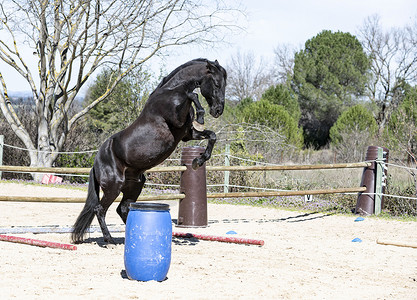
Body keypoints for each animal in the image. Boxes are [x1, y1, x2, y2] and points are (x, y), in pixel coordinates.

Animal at [72, 58, 228, 244]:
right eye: (217, 84)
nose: (218, 110)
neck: (172, 92)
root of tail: (96, 164)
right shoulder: (177, 121)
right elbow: (193, 96)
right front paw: (201, 117)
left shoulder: (188, 134)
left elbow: (212, 136)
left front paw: (198, 161)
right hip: (113, 187)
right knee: (100, 209)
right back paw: (109, 240)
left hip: (134, 186)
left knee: (122, 208)